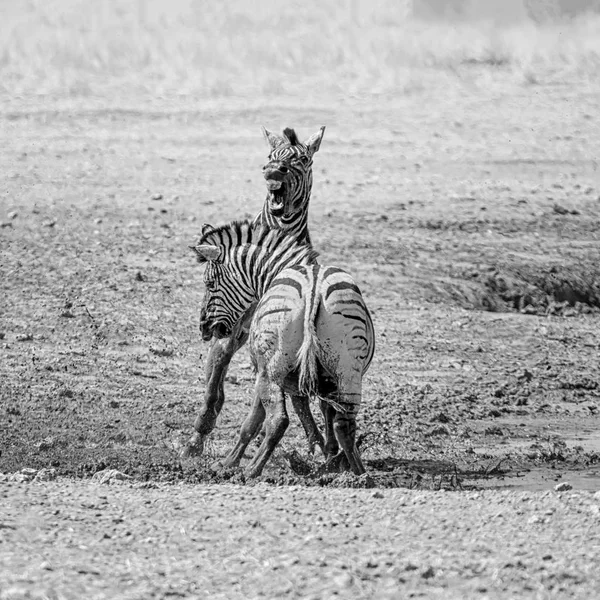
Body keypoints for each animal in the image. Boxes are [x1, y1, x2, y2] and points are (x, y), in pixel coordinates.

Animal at [180, 124, 326, 458]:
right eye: (271, 156)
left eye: (302, 160)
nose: (273, 171)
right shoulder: (232, 328)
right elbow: (215, 382)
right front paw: (197, 437)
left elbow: (297, 394)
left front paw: (317, 442)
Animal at [193, 220, 376, 478]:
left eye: (209, 283)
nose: (204, 327)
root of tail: (313, 288)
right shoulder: (326, 378)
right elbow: (326, 412)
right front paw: (331, 460)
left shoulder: (262, 369)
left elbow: (254, 421)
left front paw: (228, 463)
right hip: (349, 371)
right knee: (345, 424)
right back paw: (359, 474)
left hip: (272, 371)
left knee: (278, 421)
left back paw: (252, 470)